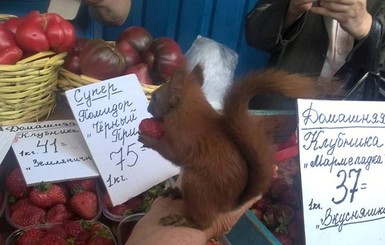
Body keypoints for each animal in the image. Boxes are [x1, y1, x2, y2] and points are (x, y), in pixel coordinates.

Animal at [138, 65, 332, 230]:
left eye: (155, 97)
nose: (147, 108)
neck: (187, 108)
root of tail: (228, 204)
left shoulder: (182, 135)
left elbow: (172, 152)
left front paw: (147, 139)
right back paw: (176, 193)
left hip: (197, 185)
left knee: (203, 224)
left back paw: (183, 219)